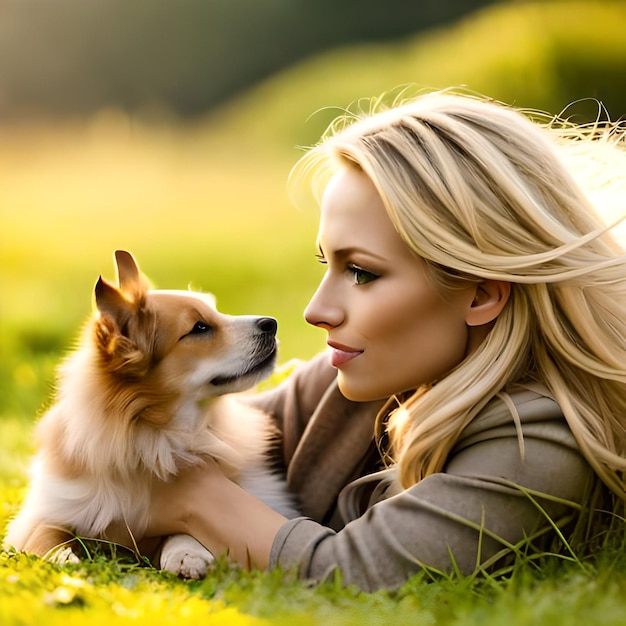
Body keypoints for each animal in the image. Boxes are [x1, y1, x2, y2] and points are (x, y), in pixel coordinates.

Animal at [3, 249, 298, 576]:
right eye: (199, 328)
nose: (271, 323)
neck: (158, 430)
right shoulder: (46, 508)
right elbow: (44, 533)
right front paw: (59, 558)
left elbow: (183, 528)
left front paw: (186, 554)